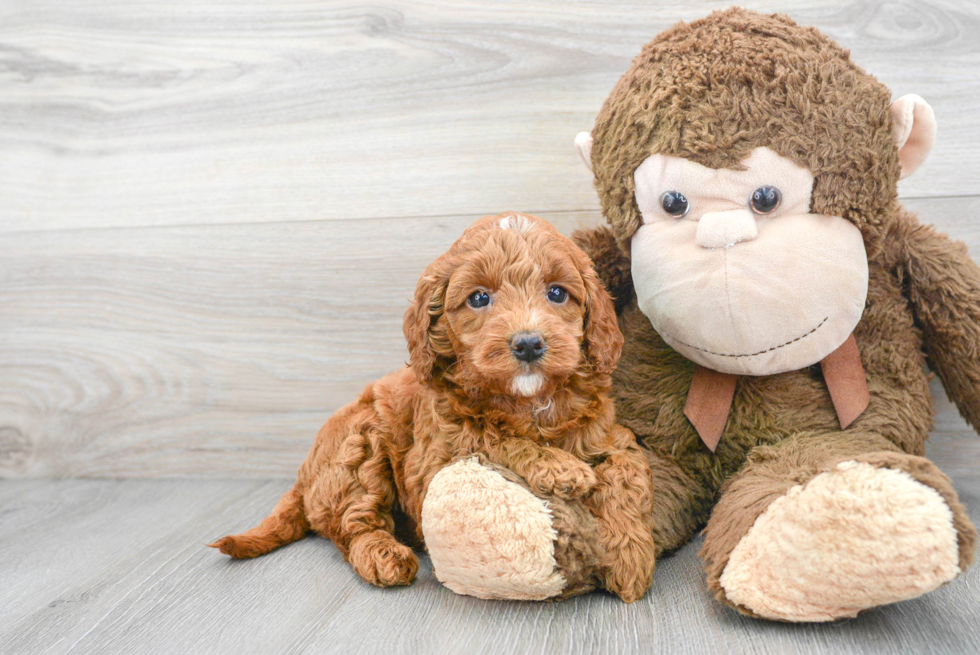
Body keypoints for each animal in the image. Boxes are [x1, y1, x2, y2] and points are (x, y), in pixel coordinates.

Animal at [214, 213, 660, 604]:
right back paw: (385, 557)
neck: (529, 401)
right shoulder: (433, 457)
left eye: (556, 293)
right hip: (361, 446)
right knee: (354, 525)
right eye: (479, 298)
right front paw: (560, 468)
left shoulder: (611, 435)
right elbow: (492, 438)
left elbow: (627, 473)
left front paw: (631, 560)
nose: (529, 343)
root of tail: (303, 478)